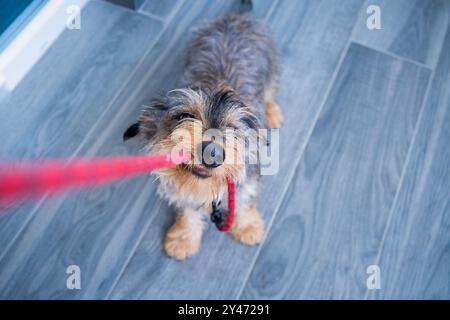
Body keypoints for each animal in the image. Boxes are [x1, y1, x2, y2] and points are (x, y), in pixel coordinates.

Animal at [124, 0, 282, 260]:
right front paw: (183, 237)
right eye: (184, 116)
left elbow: (245, 201)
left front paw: (248, 225)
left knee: (270, 91)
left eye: (234, 129)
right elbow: (187, 210)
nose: (212, 153)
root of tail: (237, 15)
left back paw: (273, 113)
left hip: (271, 67)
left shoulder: (247, 178)